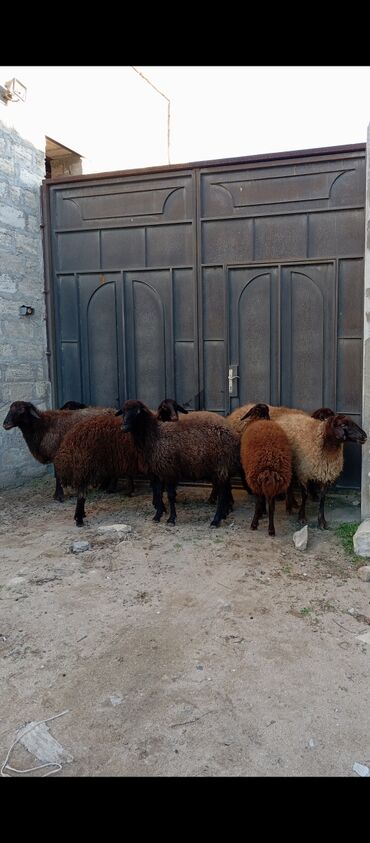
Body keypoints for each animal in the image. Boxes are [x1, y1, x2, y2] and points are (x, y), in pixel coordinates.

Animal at [240, 402, 292, 536]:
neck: (260, 418)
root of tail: (269, 467)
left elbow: (260, 502)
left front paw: (260, 515)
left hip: (255, 479)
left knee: (259, 503)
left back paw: (254, 524)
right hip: (272, 484)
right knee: (272, 506)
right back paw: (271, 529)